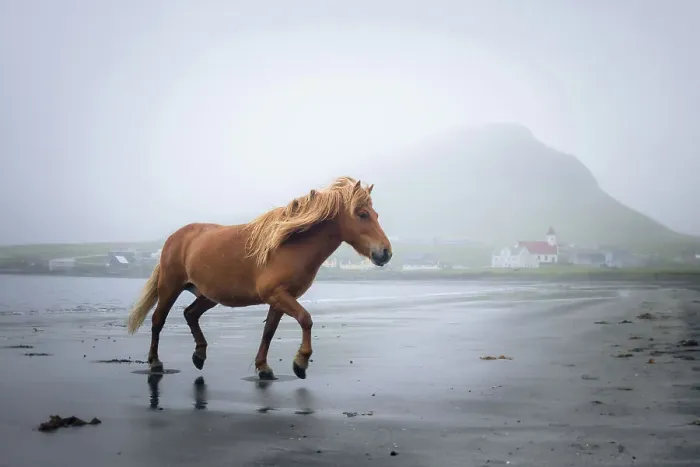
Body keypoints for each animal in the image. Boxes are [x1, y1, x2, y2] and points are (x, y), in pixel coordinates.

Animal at [126, 176, 392, 380]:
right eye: (362, 214)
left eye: (377, 214)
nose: (386, 253)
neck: (289, 245)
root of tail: (175, 237)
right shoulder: (277, 294)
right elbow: (306, 319)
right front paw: (300, 362)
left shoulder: (280, 299)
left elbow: (269, 332)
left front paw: (263, 367)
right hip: (170, 286)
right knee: (158, 320)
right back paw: (155, 362)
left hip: (209, 295)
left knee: (190, 314)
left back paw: (199, 354)